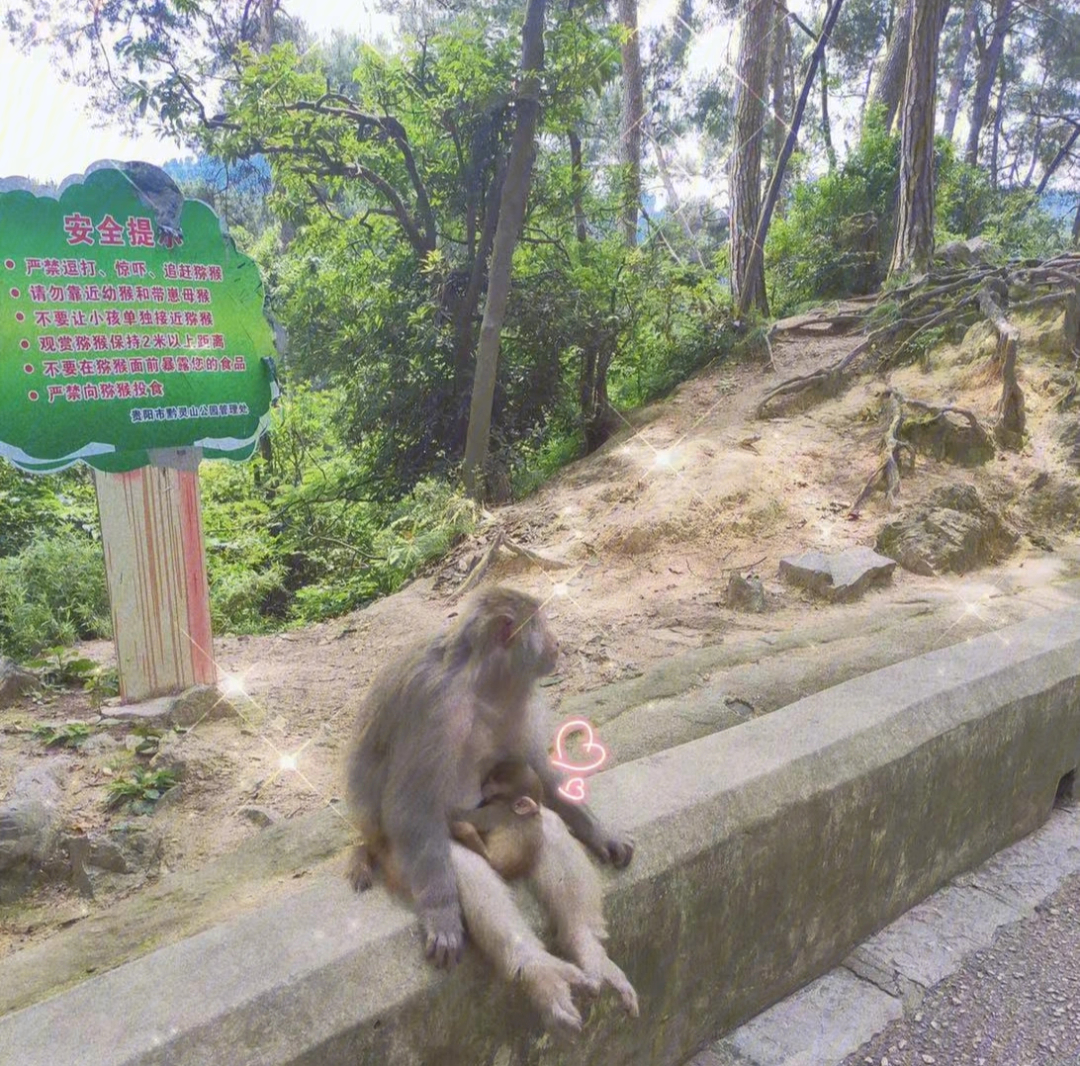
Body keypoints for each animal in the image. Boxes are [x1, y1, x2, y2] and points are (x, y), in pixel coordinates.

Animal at [345, 587, 635, 1028]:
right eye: (540, 623)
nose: (557, 644)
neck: (482, 681)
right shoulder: (432, 702)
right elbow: (412, 807)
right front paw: (443, 913)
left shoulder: (518, 698)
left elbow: (537, 772)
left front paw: (601, 833)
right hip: (394, 854)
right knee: (455, 857)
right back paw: (536, 969)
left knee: (546, 823)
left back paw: (587, 950)